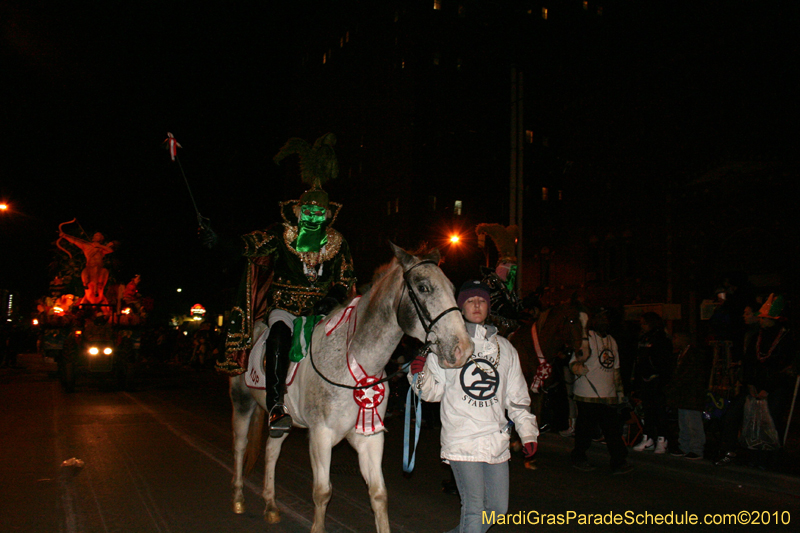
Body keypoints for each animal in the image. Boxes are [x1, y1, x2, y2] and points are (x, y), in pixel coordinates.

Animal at [228, 243, 472, 528]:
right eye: (423, 287)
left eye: (452, 288)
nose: (463, 348)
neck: (352, 364)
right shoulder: (321, 436)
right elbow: (322, 492)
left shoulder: (370, 437)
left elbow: (379, 494)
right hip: (242, 403)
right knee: (240, 445)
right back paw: (238, 498)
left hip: (284, 421)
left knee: (271, 450)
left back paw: (270, 505)